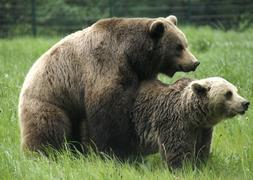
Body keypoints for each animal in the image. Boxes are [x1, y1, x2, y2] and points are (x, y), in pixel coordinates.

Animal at [18, 15, 199, 156]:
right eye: (178, 47)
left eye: (185, 43)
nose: (195, 62)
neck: (132, 53)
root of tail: (27, 78)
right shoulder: (105, 65)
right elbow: (108, 114)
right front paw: (116, 151)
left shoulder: (138, 72)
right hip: (50, 99)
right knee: (47, 129)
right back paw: (44, 153)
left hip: (72, 108)